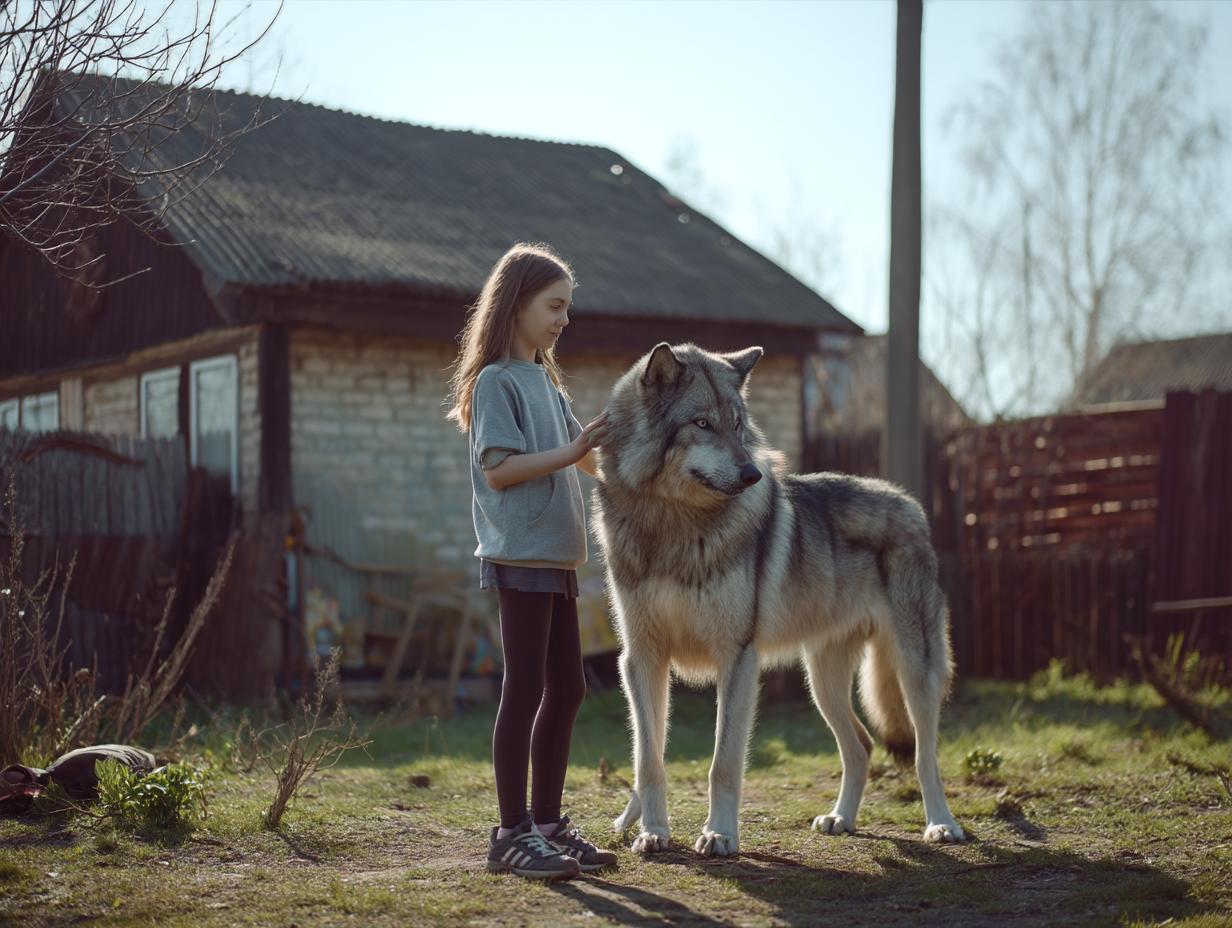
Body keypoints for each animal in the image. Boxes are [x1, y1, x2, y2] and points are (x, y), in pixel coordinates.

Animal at [591, 342, 964, 857]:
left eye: (737, 424)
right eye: (702, 423)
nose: (752, 474)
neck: (673, 523)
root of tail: (908, 502)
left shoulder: (738, 659)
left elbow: (723, 764)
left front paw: (720, 835)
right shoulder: (641, 658)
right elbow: (649, 759)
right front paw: (651, 831)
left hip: (915, 670)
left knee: (926, 754)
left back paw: (941, 825)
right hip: (822, 683)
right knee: (862, 746)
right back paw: (841, 819)